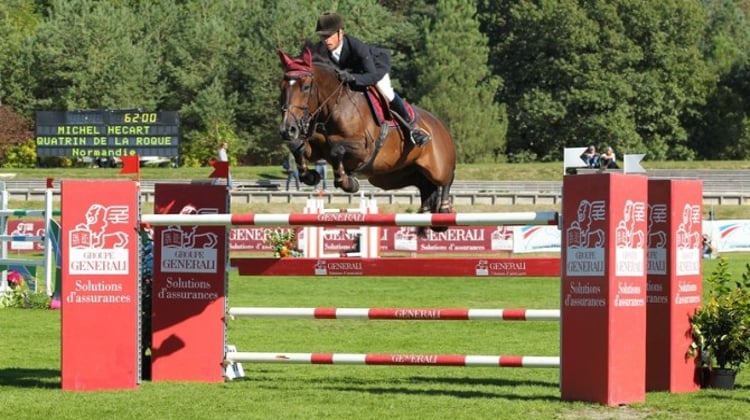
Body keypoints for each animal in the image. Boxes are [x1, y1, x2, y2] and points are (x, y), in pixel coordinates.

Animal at [276, 45, 456, 233]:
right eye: (282, 87)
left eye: (305, 87)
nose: (287, 130)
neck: (334, 106)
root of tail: (440, 125)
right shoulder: (317, 148)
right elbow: (299, 147)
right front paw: (310, 176)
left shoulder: (364, 148)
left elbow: (336, 150)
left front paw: (347, 182)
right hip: (394, 175)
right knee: (424, 185)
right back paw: (426, 216)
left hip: (437, 167)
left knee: (446, 179)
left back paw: (443, 213)